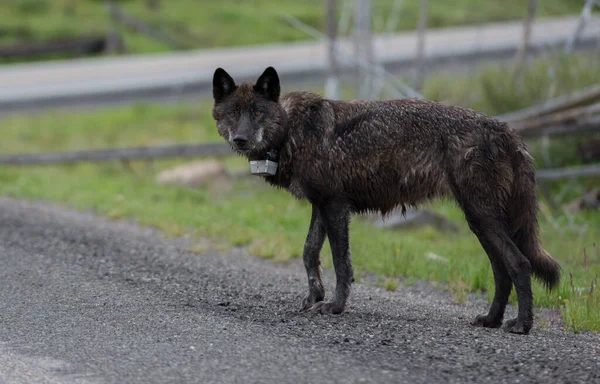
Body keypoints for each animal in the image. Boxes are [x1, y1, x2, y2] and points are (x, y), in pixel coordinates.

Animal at [212, 65, 564, 332]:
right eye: (232, 113)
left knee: (519, 264)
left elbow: (341, 263)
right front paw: (314, 298)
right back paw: (491, 320)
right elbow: (309, 253)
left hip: (481, 217)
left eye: (258, 112)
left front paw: (335, 306)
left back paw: (522, 325)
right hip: (479, 222)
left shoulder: (335, 207)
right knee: (502, 271)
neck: (291, 130)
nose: (240, 139)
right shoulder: (321, 206)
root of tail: (507, 130)